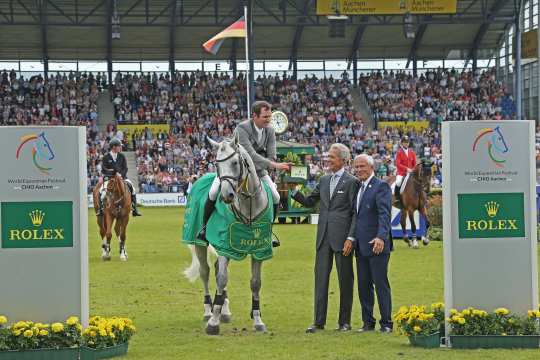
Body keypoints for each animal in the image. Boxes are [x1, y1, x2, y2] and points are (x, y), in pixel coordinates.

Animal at [185, 136, 270, 336]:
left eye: (235, 163)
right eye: (217, 163)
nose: (226, 195)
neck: (248, 207)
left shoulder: (259, 249)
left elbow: (255, 283)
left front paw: (257, 319)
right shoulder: (225, 247)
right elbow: (222, 279)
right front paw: (213, 323)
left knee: (216, 270)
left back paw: (224, 309)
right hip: (200, 243)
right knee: (206, 272)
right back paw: (209, 311)